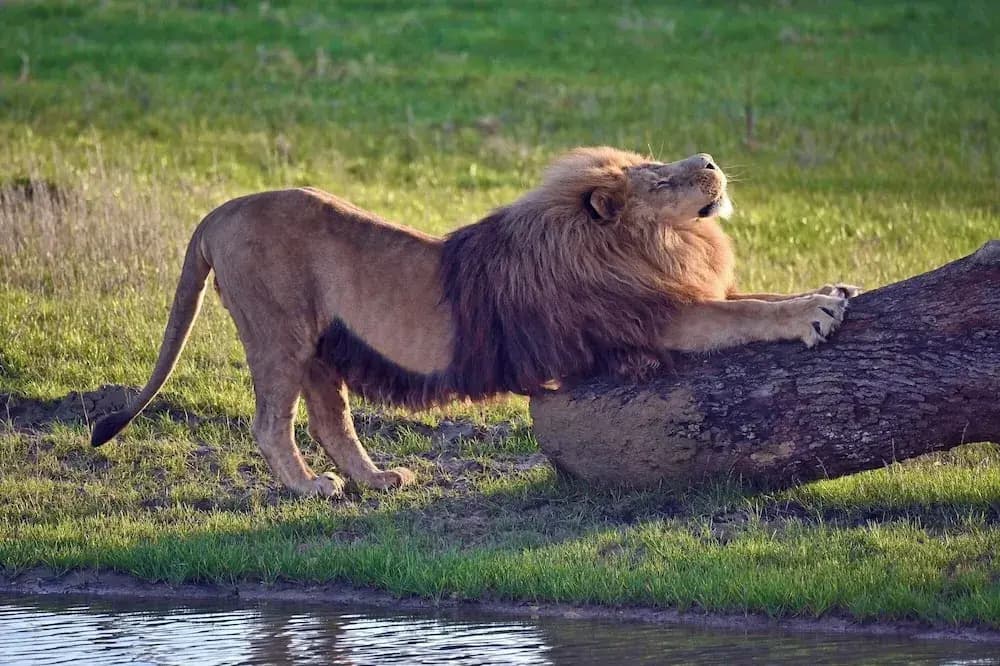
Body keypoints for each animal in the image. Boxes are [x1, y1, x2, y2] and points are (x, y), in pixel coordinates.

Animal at [91, 147, 856, 497]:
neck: (649, 244)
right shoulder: (651, 320)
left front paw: (831, 284)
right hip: (277, 328)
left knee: (332, 421)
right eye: (662, 178)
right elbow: (745, 312)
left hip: (321, 344)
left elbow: (754, 293)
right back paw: (312, 488)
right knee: (270, 423)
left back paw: (377, 480)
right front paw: (814, 312)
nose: (710, 161)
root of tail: (217, 213)